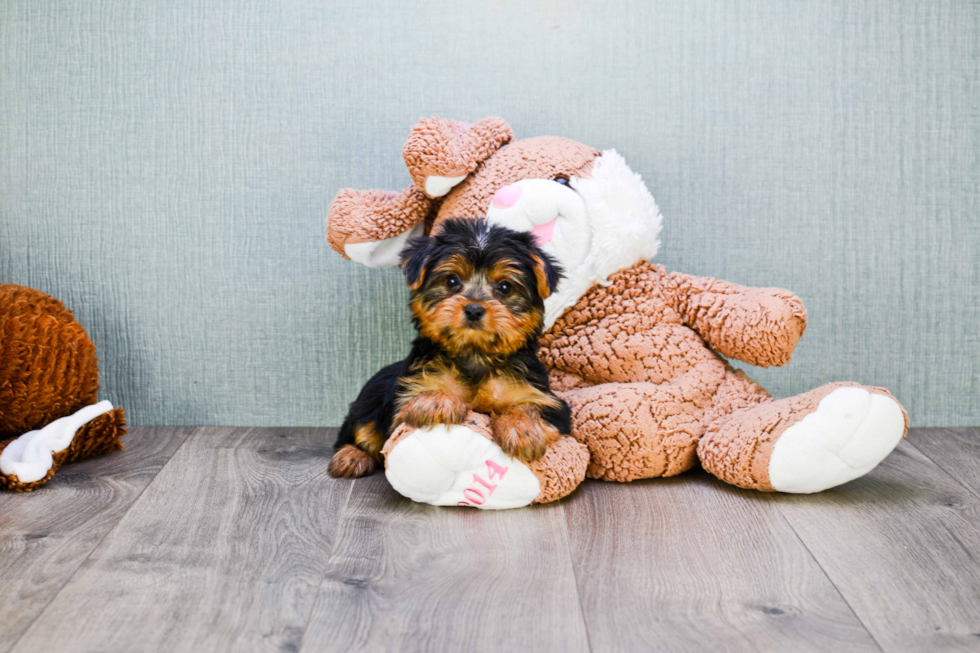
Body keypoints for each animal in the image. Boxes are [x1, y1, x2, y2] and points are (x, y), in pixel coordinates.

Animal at [332, 216, 576, 476]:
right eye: (451, 281)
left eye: (505, 287)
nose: (474, 309)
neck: (475, 354)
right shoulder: (408, 392)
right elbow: (418, 401)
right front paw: (437, 402)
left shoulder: (544, 398)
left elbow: (531, 407)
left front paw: (521, 429)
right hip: (369, 401)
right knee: (360, 428)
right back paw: (351, 455)